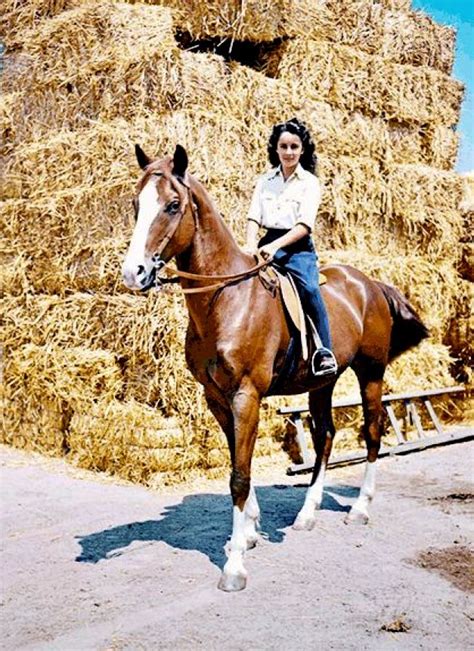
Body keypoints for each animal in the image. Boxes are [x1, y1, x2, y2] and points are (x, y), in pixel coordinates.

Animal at [120, 145, 428, 592]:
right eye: (135, 204)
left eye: (173, 205)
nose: (134, 272)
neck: (226, 299)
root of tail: (369, 283)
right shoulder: (217, 398)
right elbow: (238, 460)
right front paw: (248, 533)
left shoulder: (246, 394)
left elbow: (239, 475)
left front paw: (234, 566)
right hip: (323, 383)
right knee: (326, 437)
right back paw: (307, 514)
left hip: (371, 373)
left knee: (372, 432)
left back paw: (360, 508)